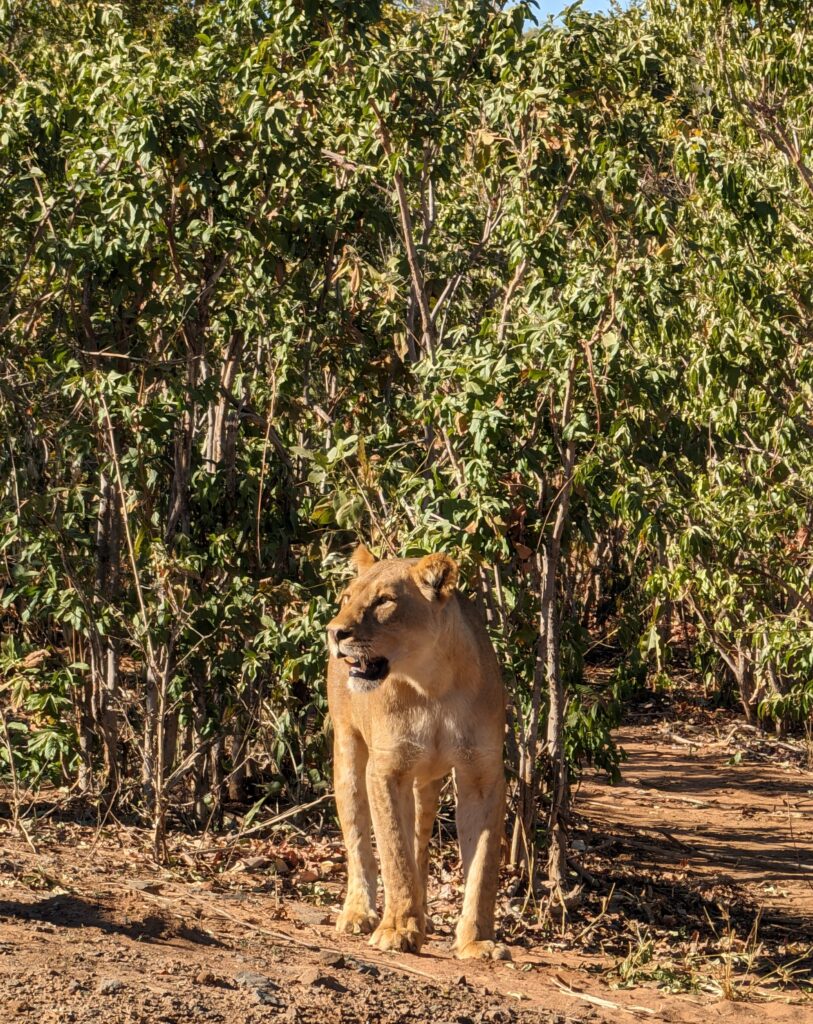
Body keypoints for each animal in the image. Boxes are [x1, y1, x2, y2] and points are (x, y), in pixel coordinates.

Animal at [326, 544, 509, 960]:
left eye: (384, 601)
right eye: (347, 598)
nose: (334, 632)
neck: (432, 685)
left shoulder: (482, 776)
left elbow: (482, 866)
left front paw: (476, 940)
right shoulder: (386, 769)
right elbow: (394, 853)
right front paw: (396, 930)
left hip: (426, 781)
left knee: (419, 843)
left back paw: (421, 916)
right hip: (348, 750)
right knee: (359, 836)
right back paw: (360, 913)